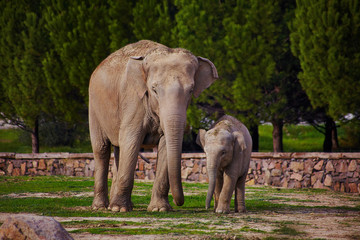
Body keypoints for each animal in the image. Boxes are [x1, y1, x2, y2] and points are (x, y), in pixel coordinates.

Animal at [88, 40, 218, 212]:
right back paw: (101, 207)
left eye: (191, 90)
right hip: (94, 106)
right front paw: (119, 210)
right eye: (154, 89)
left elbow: (164, 146)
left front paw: (160, 209)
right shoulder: (133, 100)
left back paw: (119, 206)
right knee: (102, 149)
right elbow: (131, 141)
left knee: (118, 149)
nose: (179, 202)